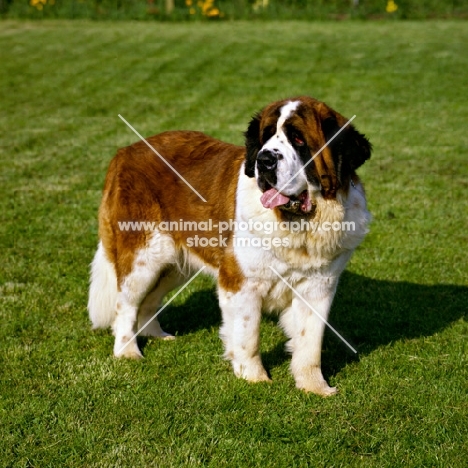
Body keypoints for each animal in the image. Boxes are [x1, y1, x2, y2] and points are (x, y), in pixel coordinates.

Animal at [88, 95, 372, 394]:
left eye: (298, 139)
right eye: (266, 137)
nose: (264, 160)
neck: (299, 225)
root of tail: (125, 152)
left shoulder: (318, 287)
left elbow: (310, 342)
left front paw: (314, 387)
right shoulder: (241, 283)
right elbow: (248, 334)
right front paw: (254, 378)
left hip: (174, 265)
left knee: (149, 300)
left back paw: (157, 335)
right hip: (144, 257)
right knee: (126, 305)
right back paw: (128, 352)